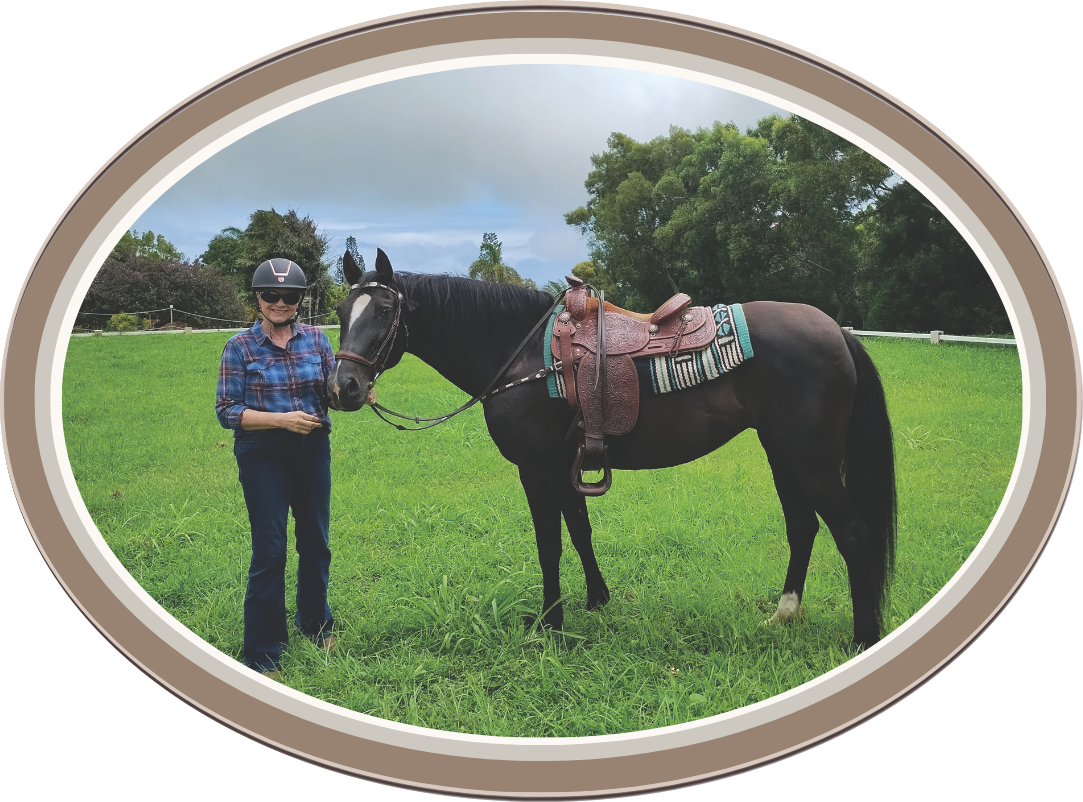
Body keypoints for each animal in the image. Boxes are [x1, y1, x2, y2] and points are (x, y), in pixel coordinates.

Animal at [327, 249, 896, 649]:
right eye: (338, 309)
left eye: (385, 310)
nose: (343, 388)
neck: (522, 354)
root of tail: (838, 332)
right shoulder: (564, 464)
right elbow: (579, 529)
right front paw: (597, 600)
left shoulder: (536, 468)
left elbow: (549, 544)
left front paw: (551, 622)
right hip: (785, 455)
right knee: (803, 527)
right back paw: (783, 614)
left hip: (811, 460)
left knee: (852, 533)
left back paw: (862, 637)